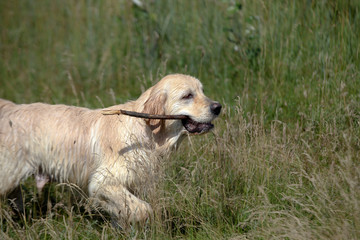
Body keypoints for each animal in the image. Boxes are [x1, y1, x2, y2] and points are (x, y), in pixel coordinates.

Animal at [0, 74, 222, 224]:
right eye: (187, 95)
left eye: (202, 91)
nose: (218, 107)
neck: (146, 132)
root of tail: (11, 108)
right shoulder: (104, 182)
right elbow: (144, 210)